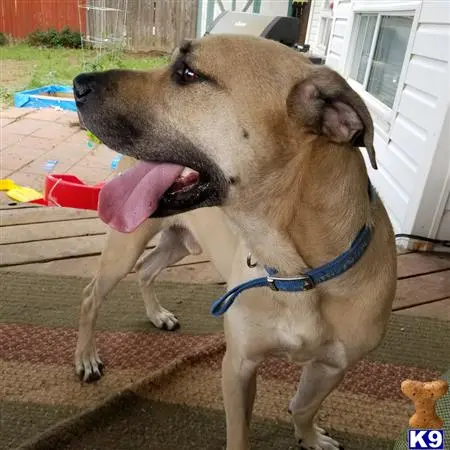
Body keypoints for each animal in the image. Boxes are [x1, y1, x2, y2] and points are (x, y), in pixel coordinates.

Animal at [72, 36, 396, 450]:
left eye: (187, 73)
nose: (77, 83)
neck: (296, 270)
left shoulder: (333, 366)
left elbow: (304, 405)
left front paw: (308, 435)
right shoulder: (238, 365)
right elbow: (239, 433)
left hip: (178, 243)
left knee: (146, 270)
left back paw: (157, 314)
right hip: (125, 246)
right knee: (90, 296)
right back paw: (86, 357)